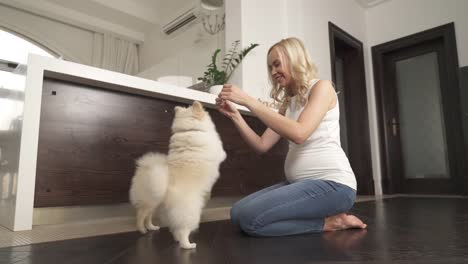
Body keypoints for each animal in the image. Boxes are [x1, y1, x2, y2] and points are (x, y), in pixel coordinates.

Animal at [129, 100, 226, 249]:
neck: (190, 130)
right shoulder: (217, 150)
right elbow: (223, 153)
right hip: (189, 213)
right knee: (181, 230)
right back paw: (187, 244)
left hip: (154, 202)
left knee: (147, 216)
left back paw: (152, 228)